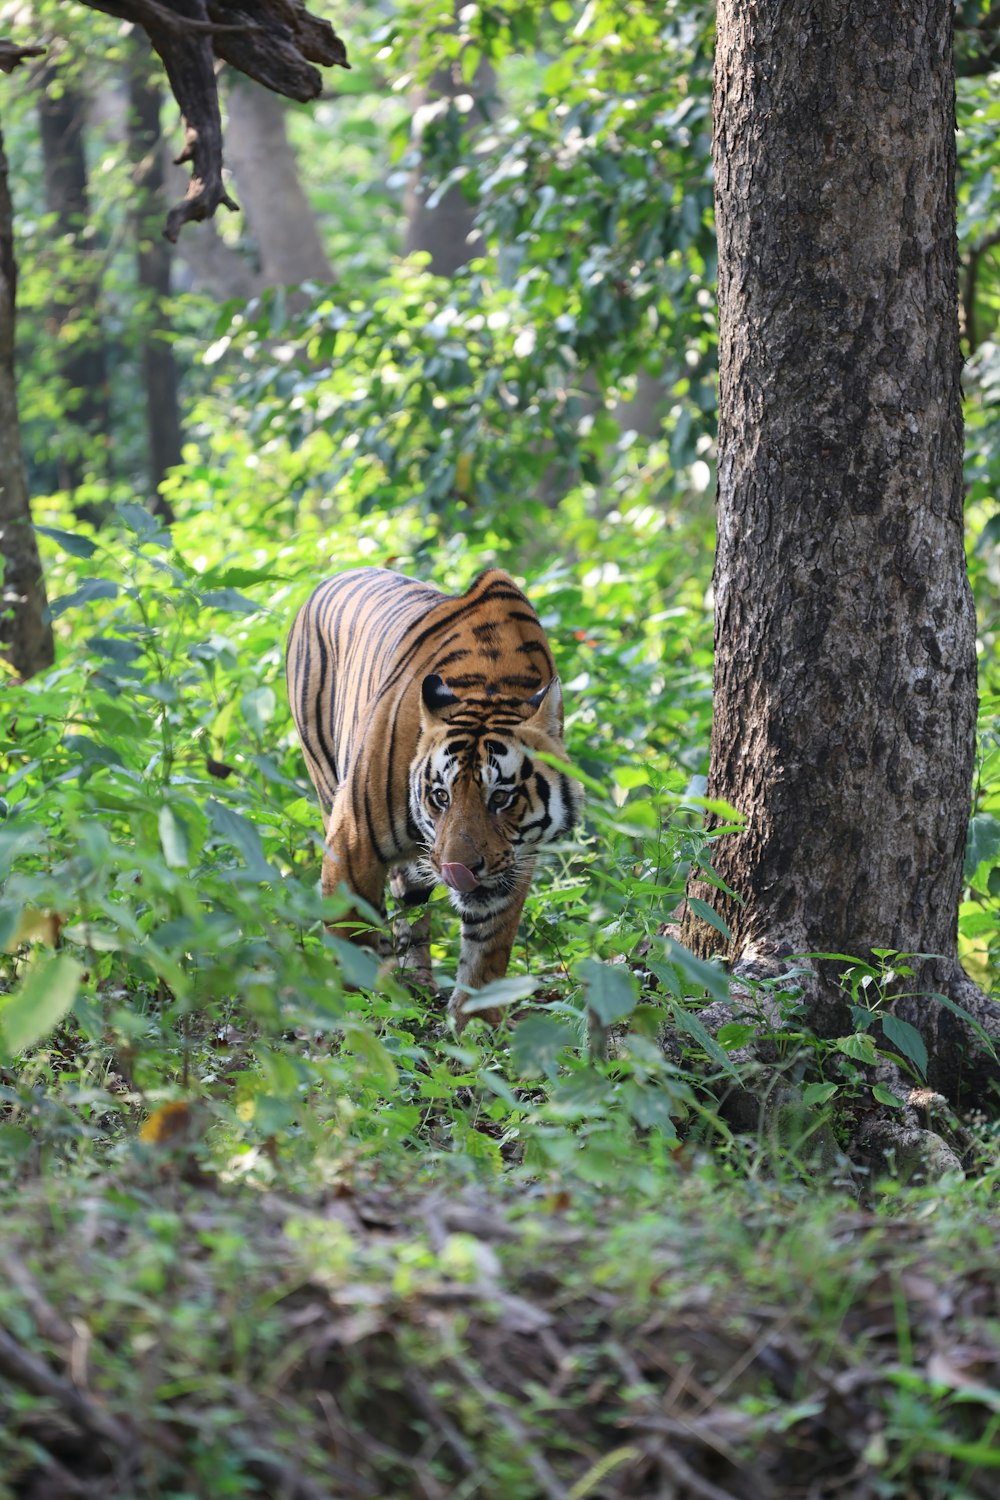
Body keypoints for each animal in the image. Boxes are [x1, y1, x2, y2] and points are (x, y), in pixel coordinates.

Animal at [281, 567, 581, 1026]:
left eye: (501, 798)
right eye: (441, 796)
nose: (459, 869)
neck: (493, 686)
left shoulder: (516, 860)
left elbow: (489, 949)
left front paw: (475, 1026)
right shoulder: (351, 841)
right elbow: (351, 937)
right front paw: (352, 1017)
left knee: (410, 906)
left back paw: (417, 982)